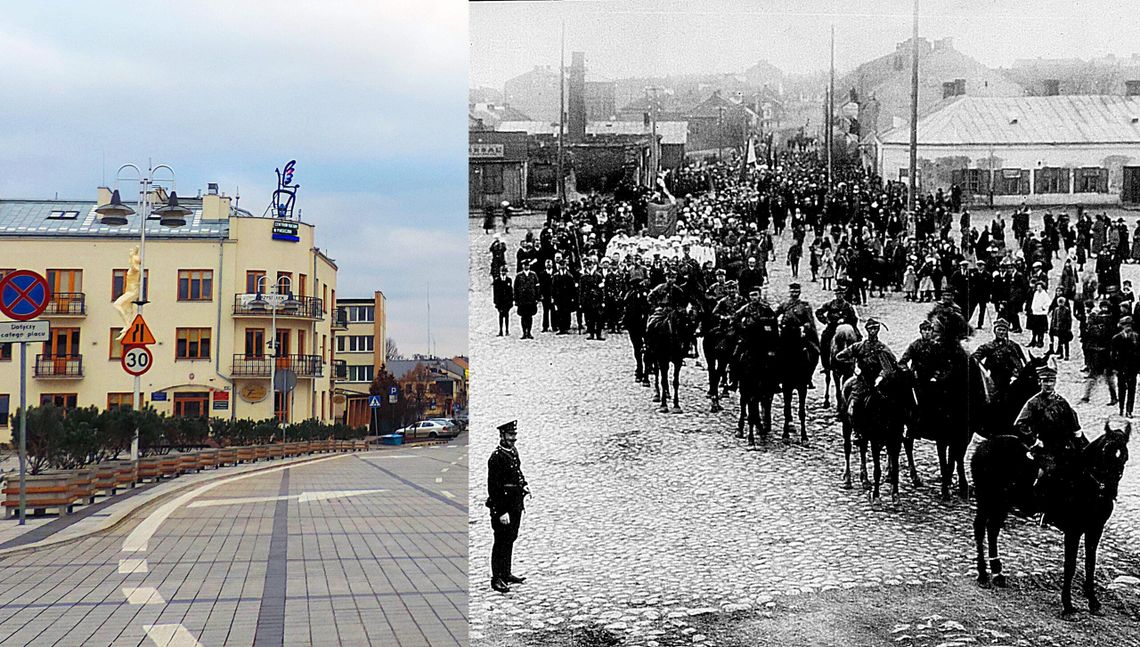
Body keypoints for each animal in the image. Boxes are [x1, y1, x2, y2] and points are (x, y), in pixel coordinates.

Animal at [971, 419, 1130, 615]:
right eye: (1106, 451)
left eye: (1124, 456)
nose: (1110, 491)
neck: (1084, 481)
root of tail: (983, 446)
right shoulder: (1073, 531)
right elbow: (1070, 565)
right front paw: (1068, 605)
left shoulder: (1095, 530)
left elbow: (1090, 564)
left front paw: (1093, 601)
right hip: (986, 499)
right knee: (980, 528)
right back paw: (983, 574)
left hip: (1002, 504)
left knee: (992, 530)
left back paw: (997, 573)